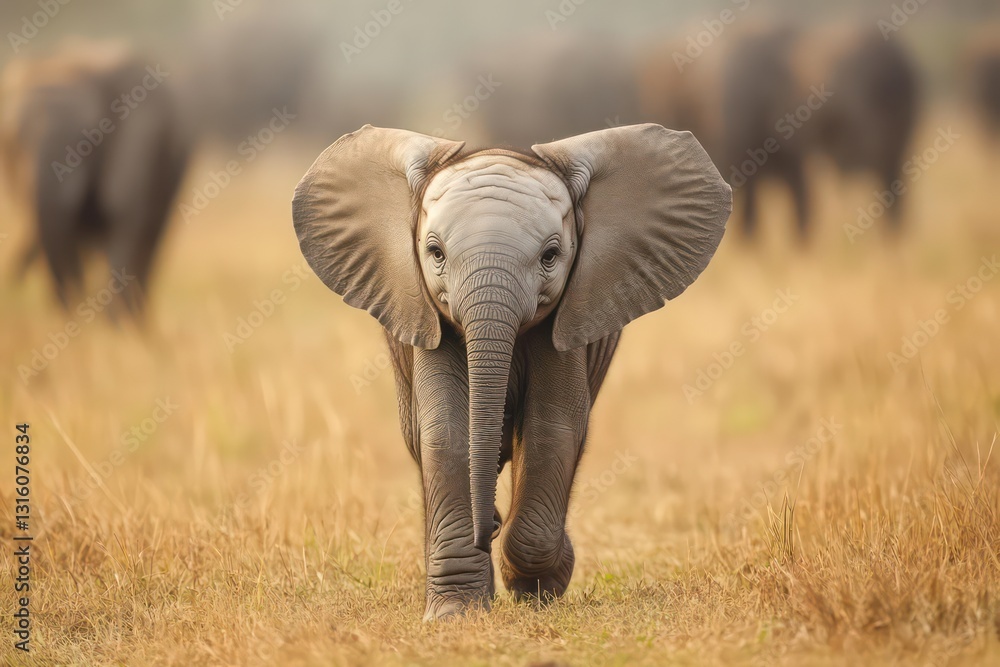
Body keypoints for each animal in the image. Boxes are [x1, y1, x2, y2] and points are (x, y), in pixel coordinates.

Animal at [292, 124, 731, 620]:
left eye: (550, 256)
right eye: (435, 252)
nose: (489, 528)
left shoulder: (569, 317)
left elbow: (552, 430)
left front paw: (538, 586)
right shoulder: (428, 316)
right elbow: (445, 431)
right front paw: (455, 612)